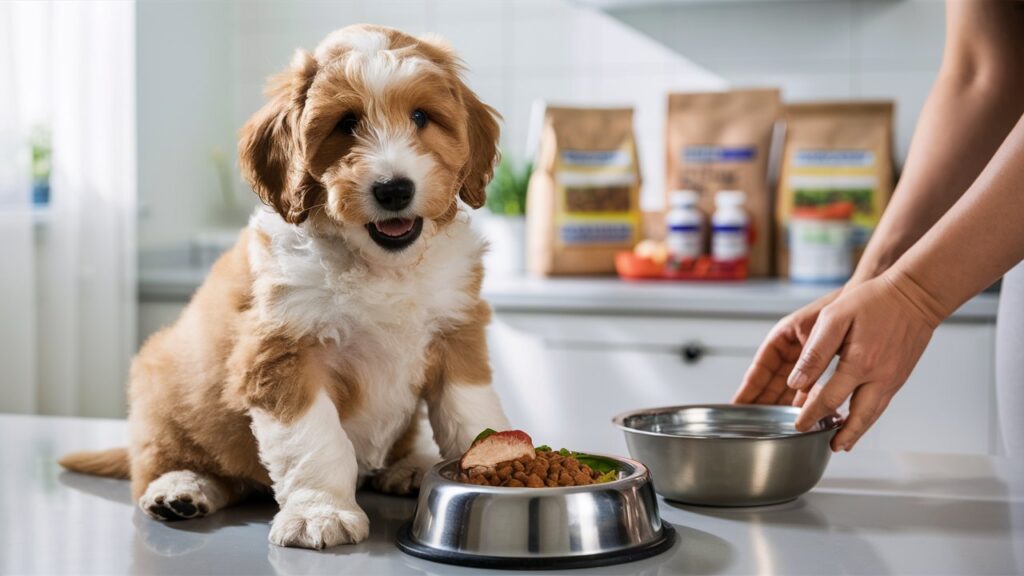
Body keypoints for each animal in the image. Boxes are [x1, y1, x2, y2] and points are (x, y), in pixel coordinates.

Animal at [58, 25, 507, 545]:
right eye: (346, 123)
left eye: (421, 117)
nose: (394, 189)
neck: (379, 265)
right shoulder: (282, 354)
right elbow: (316, 440)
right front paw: (320, 512)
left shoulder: (456, 331)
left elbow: (470, 411)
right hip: (159, 383)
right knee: (163, 463)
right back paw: (181, 490)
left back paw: (408, 468)